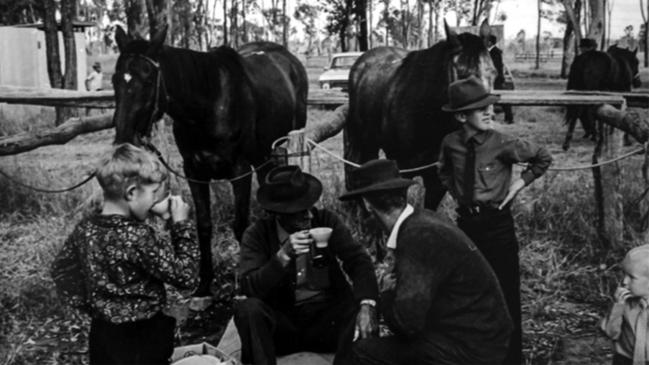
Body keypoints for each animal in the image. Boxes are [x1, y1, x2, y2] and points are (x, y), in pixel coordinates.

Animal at [112, 26, 308, 296]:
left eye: (149, 80)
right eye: (115, 80)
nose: (124, 139)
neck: (210, 104)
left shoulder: (240, 170)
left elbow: (241, 226)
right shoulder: (194, 171)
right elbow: (203, 225)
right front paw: (204, 284)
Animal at [344, 19, 496, 208]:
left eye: (494, 72)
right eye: (462, 74)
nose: (486, 117)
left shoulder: (436, 179)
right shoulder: (401, 169)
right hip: (363, 141)